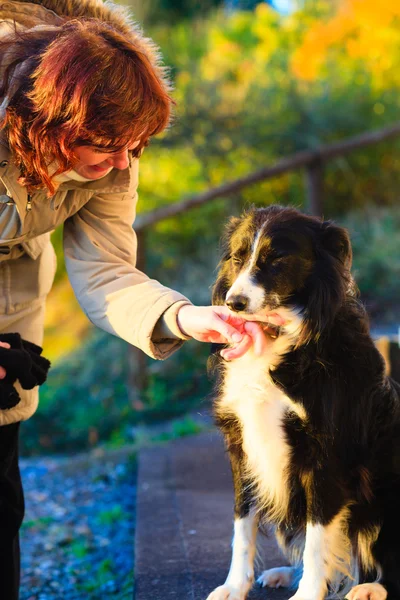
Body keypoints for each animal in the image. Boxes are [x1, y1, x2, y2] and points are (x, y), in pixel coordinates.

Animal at [206, 205, 400, 600]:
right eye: (237, 257)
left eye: (277, 258)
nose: (234, 304)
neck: (279, 338)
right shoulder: (242, 444)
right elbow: (242, 522)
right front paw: (234, 586)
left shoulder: (326, 451)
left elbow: (318, 535)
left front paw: (309, 592)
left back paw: (370, 587)